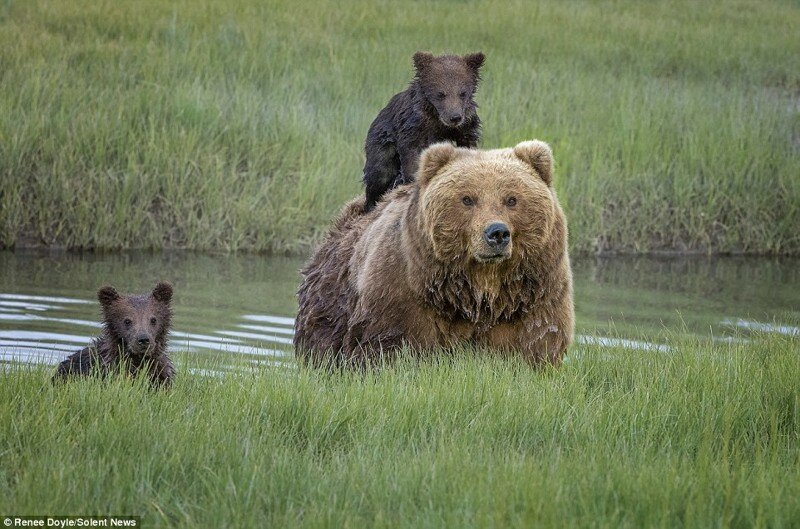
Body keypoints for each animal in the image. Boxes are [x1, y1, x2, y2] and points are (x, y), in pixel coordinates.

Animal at [296, 139, 572, 368]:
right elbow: (392, 345)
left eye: (512, 199)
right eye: (467, 199)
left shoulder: (532, 297)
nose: (497, 233)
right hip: (330, 307)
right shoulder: (402, 292)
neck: (478, 290)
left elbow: (536, 342)